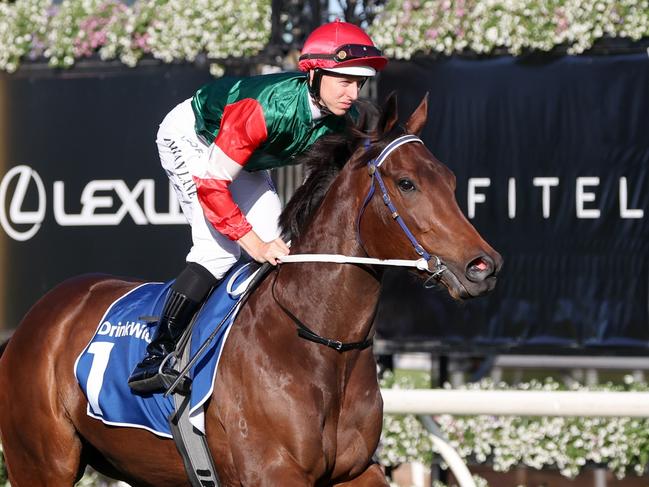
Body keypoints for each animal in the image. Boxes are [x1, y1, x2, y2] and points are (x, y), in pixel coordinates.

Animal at [0, 93, 502, 486]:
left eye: (451, 181)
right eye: (406, 183)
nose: (484, 266)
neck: (320, 342)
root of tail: (38, 318)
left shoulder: (355, 471)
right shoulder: (273, 473)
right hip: (40, 464)